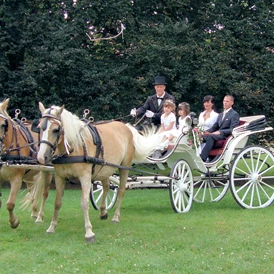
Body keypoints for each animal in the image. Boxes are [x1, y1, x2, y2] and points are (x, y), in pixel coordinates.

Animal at [0, 98, 52, 227]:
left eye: (3, 125)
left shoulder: (17, 179)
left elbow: (10, 204)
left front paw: (14, 222)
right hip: (30, 175)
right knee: (32, 191)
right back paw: (34, 212)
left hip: (47, 171)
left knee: (44, 193)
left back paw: (39, 216)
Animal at [36, 103, 161, 242]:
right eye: (39, 128)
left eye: (56, 129)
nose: (41, 157)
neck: (75, 147)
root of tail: (127, 127)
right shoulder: (59, 177)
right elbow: (57, 203)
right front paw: (51, 227)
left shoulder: (85, 177)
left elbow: (84, 203)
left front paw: (89, 232)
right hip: (105, 168)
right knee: (106, 186)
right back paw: (103, 211)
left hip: (124, 167)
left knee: (121, 190)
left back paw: (115, 217)